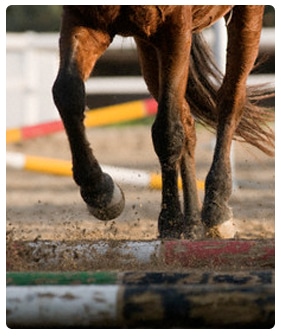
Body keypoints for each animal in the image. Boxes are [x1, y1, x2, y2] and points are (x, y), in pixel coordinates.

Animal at [52, 6, 274, 240]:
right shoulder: (84, 21)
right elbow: (67, 93)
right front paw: (100, 192)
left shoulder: (174, 30)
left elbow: (167, 131)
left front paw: (171, 221)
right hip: (148, 47)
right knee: (188, 125)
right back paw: (193, 223)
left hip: (246, 18)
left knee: (230, 101)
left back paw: (217, 209)